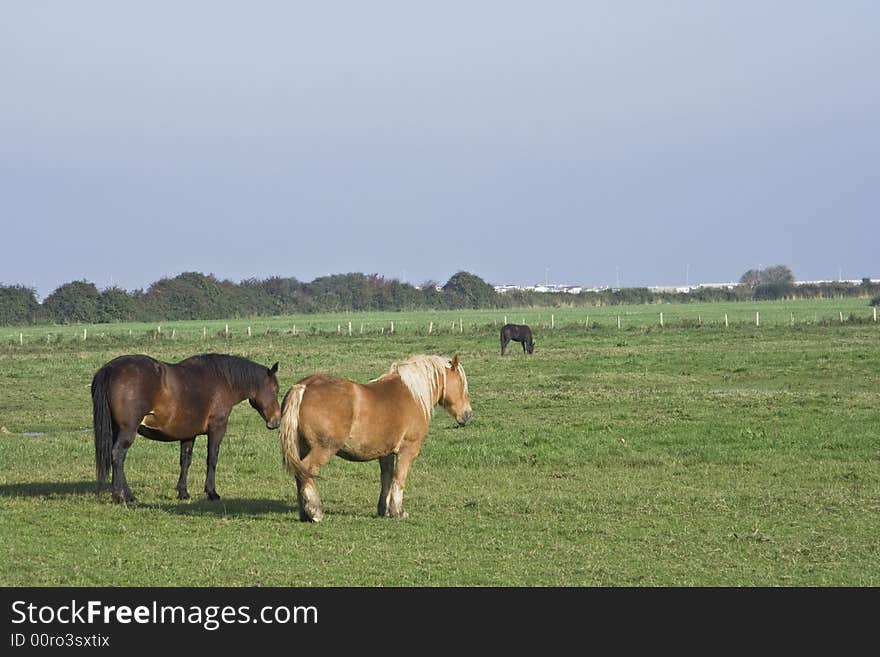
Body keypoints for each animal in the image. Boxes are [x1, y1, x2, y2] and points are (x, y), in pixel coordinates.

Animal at [90, 354, 280, 502]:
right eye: (275, 389)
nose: (276, 421)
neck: (223, 381)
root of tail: (110, 369)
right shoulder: (217, 429)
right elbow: (212, 459)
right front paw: (212, 492)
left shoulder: (188, 434)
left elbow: (185, 461)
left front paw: (183, 492)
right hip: (128, 430)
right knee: (118, 455)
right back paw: (124, 496)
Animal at [282, 354, 474, 524]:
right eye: (461, 383)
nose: (467, 414)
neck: (412, 395)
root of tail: (304, 386)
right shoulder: (408, 450)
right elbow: (399, 479)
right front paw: (398, 512)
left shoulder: (386, 452)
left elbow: (386, 479)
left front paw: (384, 510)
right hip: (324, 448)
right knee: (307, 471)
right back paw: (315, 512)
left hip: (302, 448)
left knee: (300, 474)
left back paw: (304, 513)